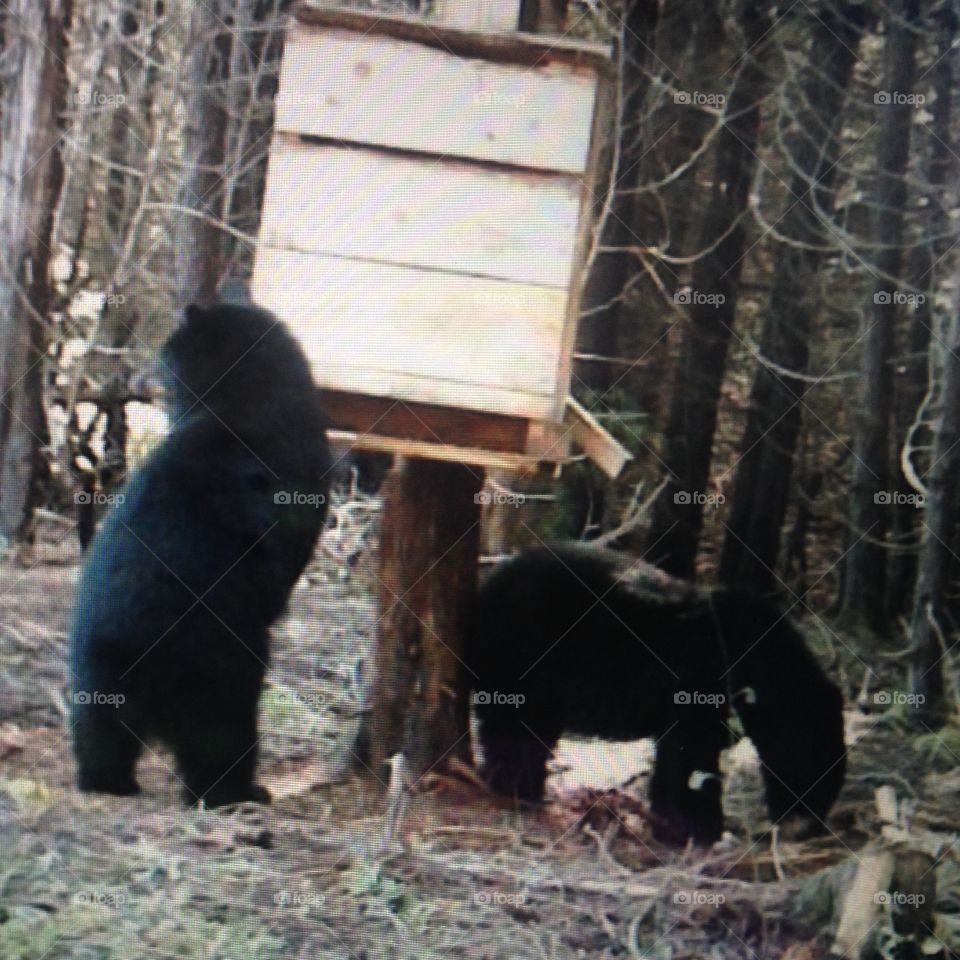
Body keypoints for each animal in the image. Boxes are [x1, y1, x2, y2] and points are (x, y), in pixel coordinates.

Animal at [68, 299, 331, 807]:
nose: (146, 379)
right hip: (220, 672)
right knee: (219, 738)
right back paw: (238, 791)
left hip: (97, 665)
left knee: (99, 731)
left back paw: (109, 781)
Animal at [466, 545, 846, 845]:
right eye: (819, 765)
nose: (810, 825)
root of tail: (485, 587)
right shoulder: (700, 679)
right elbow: (691, 754)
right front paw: (703, 828)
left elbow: (675, 757)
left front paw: (670, 823)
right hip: (524, 653)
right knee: (515, 726)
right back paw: (517, 789)